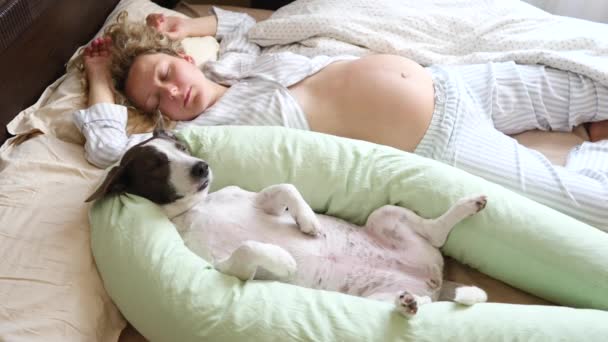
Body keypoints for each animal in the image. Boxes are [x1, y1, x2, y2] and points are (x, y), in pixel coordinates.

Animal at [85, 129, 486, 318]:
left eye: (181, 147)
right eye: (156, 166)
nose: (202, 166)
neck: (194, 210)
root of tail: (434, 279)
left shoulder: (259, 199)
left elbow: (285, 188)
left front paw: (308, 223)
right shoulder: (225, 268)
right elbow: (248, 248)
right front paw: (285, 261)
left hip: (387, 216)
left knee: (436, 231)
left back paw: (468, 206)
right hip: (378, 293)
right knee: (423, 287)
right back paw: (409, 302)